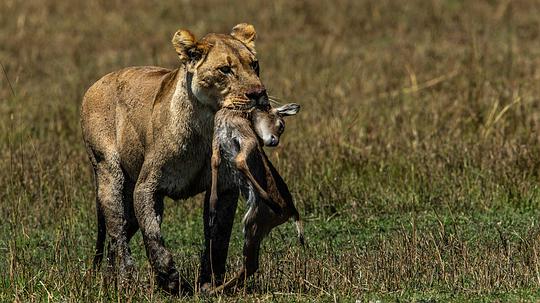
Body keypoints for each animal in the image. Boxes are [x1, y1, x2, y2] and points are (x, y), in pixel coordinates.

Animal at [209, 103, 304, 294]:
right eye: (281, 125)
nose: (274, 141)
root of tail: (292, 211)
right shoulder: (217, 141)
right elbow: (215, 161)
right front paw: (213, 206)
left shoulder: (247, 139)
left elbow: (238, 161)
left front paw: (271, 199)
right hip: (255, 227)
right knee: (251, 264)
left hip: (252, 224)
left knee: (251, 264)